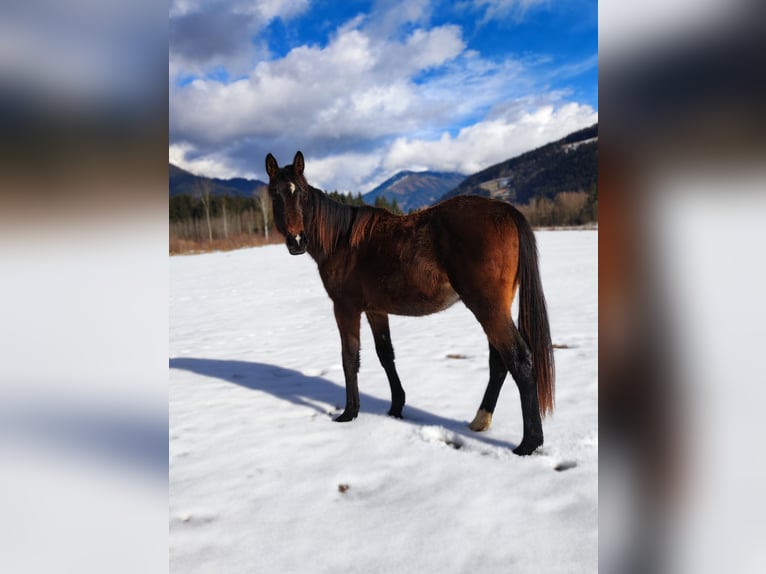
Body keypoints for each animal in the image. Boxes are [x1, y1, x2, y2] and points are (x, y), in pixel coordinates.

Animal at [265, 151, 555, 455]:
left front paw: (349, 413)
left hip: (488, 309)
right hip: (495, 309)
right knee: (499, 362)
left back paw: (529, 442)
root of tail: (506, 211)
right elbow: (385, 355)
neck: (342, 241)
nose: (297, 240)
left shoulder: (345, 308)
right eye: (274, 193)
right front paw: (396, 407)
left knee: (519, 360)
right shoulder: (375, 310)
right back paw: (480, 420)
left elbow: (349, 357)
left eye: (303, 193)